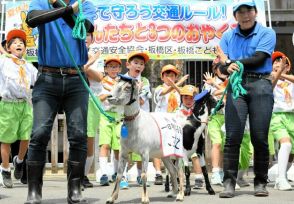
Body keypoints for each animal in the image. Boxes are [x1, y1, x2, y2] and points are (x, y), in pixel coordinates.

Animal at [105, 75, 184, 203]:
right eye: (116, 84)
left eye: (127, 87)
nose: (109, 97)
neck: (137, 123)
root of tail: (176, 118)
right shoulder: (124, 151)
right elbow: (119, 174)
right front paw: (111, 198)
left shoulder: (145, 153)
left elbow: (143, 175)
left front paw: (145, 198)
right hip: (164, 154)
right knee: (173, 170)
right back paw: (173, 193)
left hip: (177, 151)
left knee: (180, 171)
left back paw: (180, 195)